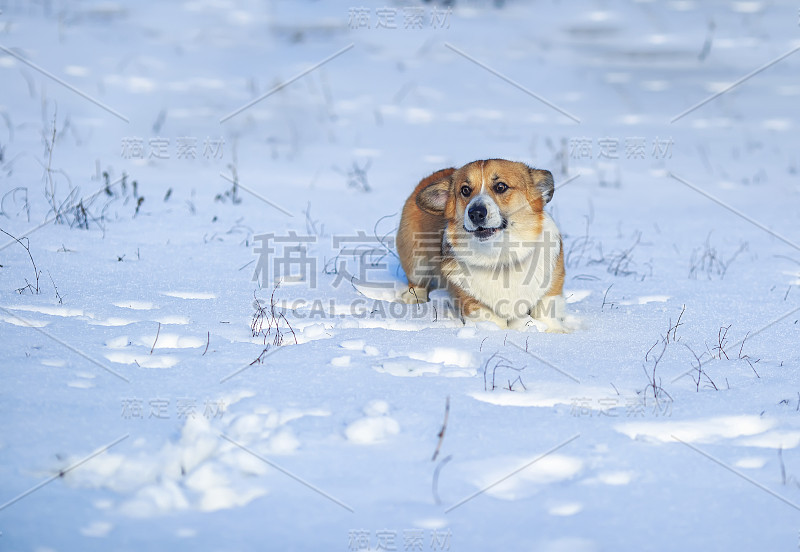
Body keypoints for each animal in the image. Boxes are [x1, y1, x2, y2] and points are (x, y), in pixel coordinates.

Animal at [396, 160, 564, 332]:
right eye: (465, 190)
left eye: (500, 186)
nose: (475, 213)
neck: (500, 257)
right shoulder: (471, 300)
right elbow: (493, 320)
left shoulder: (551, 288)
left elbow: (545, 311)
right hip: (415, 259)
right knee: (417, 282)